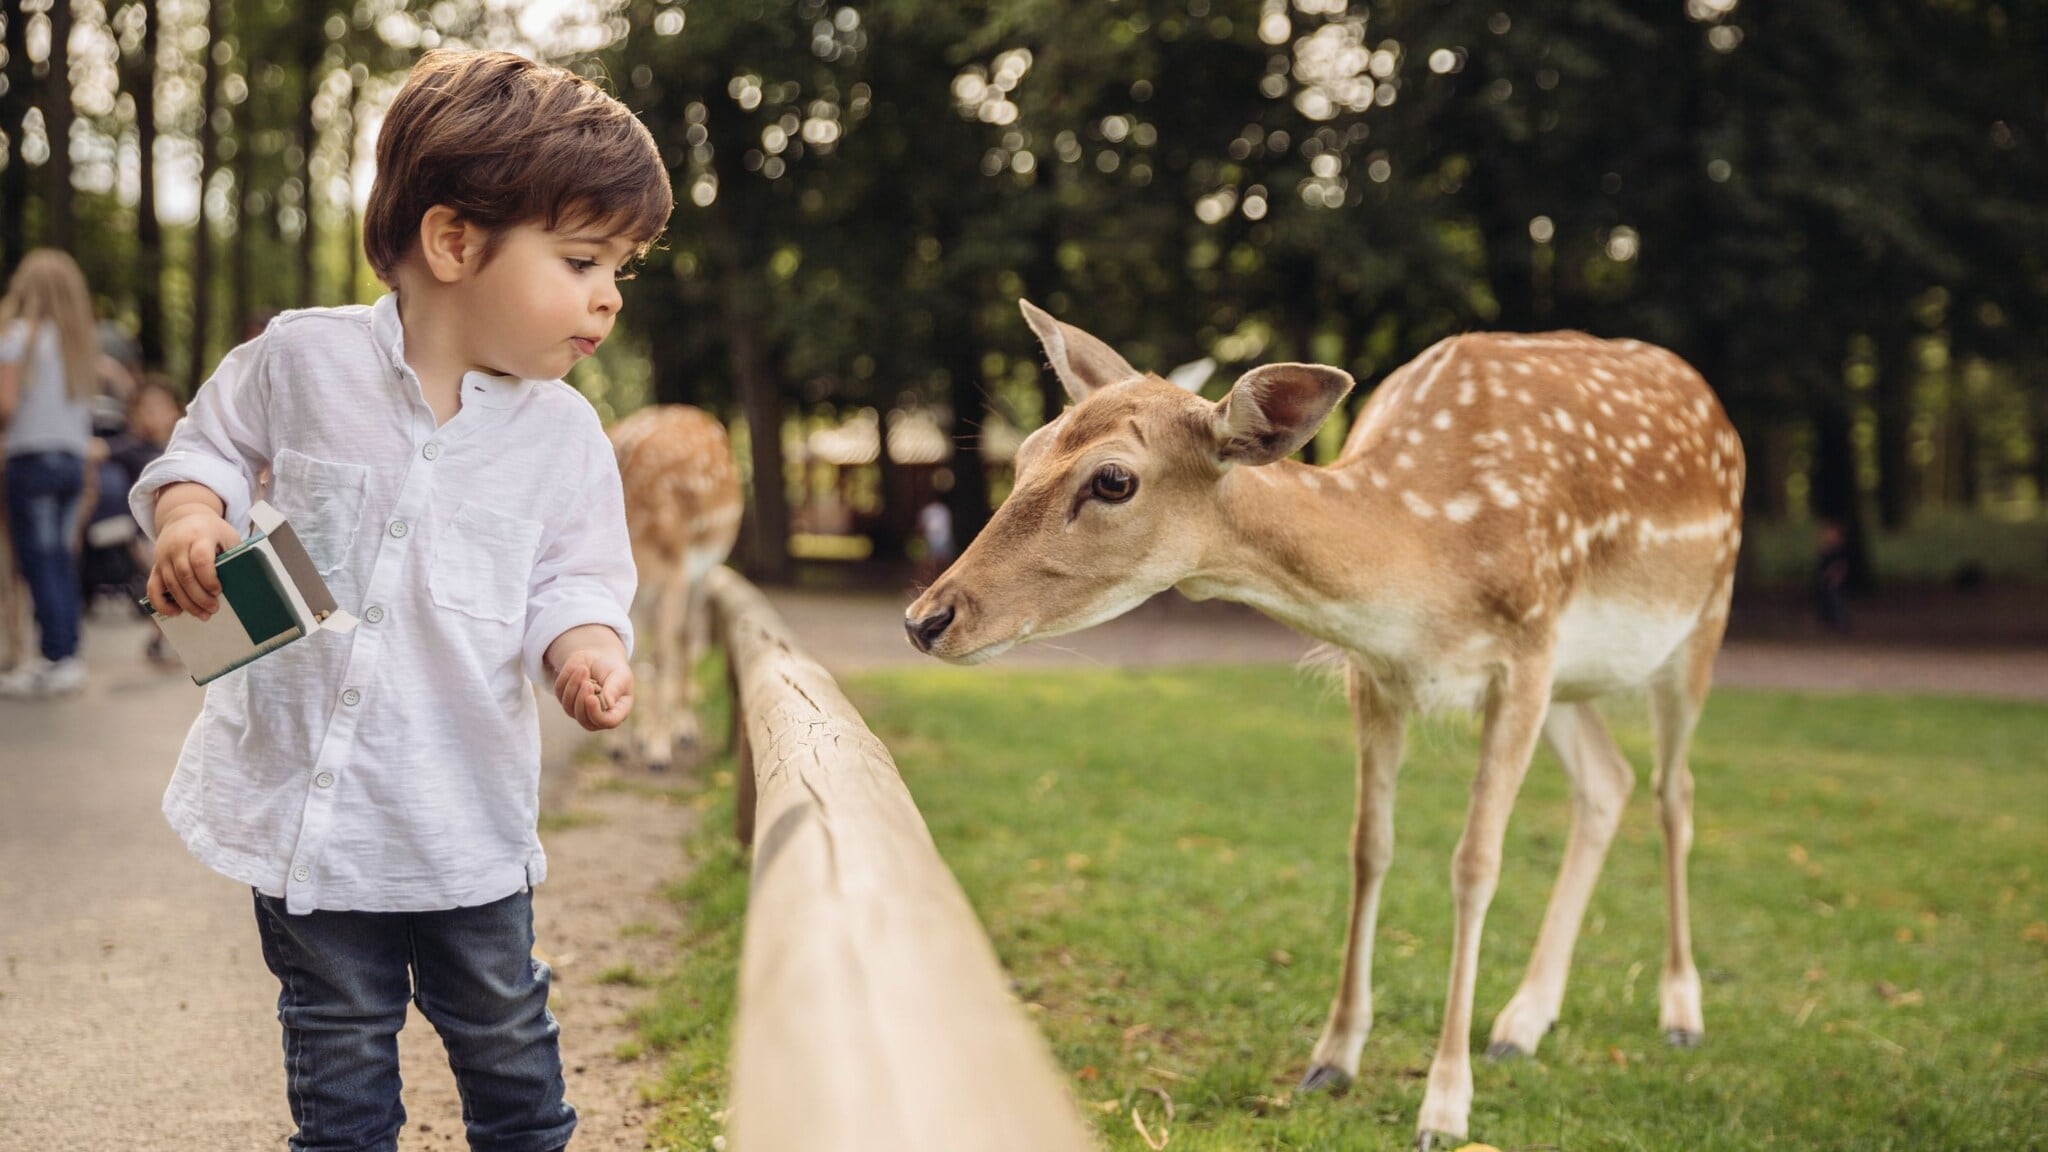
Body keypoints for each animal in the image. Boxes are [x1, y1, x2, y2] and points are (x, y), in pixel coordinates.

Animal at [609, 404, 744, 771]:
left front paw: (659, 751)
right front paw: (620, 745)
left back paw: (682, 730)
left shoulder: (675, 572)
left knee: (683, 635)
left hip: (704, 568)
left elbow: (661, 652)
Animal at [903, 301, 1744, 1149]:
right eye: (1027, 454)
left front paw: (1445, 1104)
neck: (1425, 568)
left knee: (1675, 791)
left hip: (1700, 620)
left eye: (1113, 479)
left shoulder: (1527, 657)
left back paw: (1681, 1011)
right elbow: (1368, 847)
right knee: (1609, 782)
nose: (925, 618)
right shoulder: (1375, 677)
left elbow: (1475, 865)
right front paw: (1333, 1058)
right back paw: (1522, 1022)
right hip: (1576, 685)